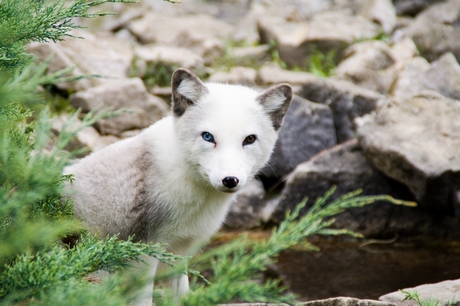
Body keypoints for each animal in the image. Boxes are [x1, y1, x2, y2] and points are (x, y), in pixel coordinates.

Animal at [64, 68, 292, 304]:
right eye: (208, 136)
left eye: (249, 139)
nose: (230, 180)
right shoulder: (146, 250)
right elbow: (144, 299)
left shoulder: (180, 250)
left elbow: (181, 293)